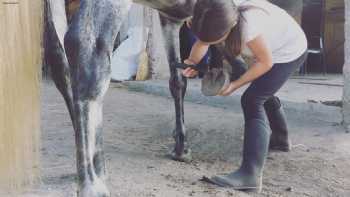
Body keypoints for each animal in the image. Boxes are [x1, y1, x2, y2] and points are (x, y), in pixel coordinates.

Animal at [45, 0, 304, 197]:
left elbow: (179, 79)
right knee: (85, 45)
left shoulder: (173, 12)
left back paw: (95, 166)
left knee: (60, 62)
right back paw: (92, 182)